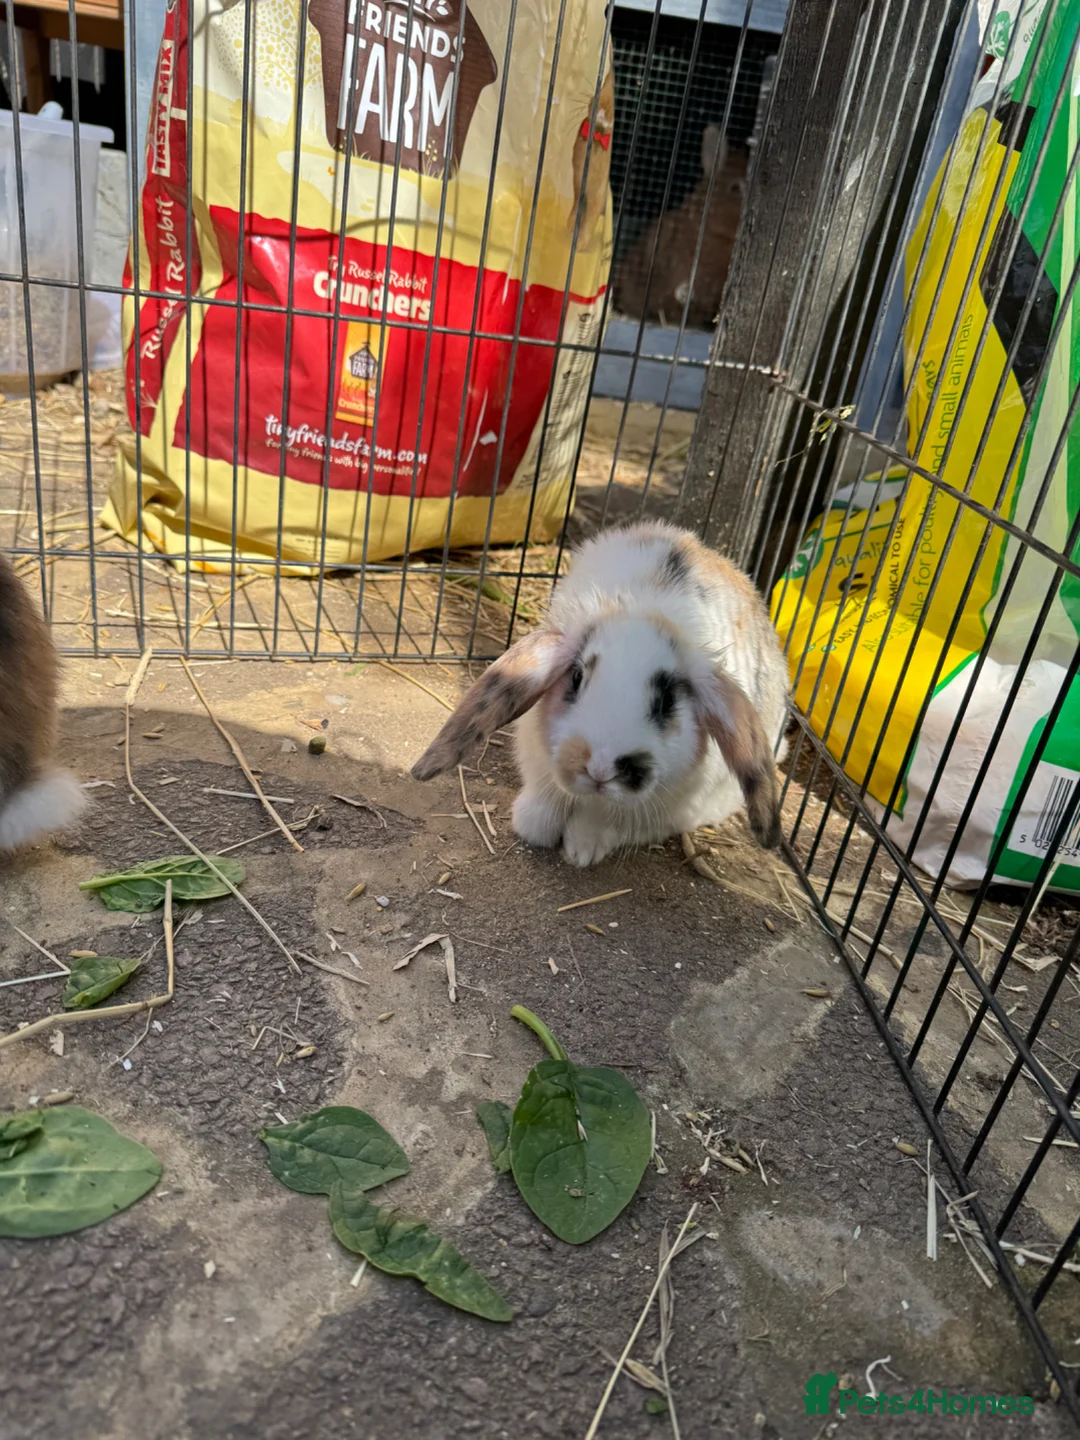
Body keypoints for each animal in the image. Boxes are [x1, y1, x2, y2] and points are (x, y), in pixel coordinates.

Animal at [411, 521, 788, 867]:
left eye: (667, 701)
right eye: (577, 677)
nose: (601, 768)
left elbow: (603, 820)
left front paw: (581, 850)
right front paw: (532, 827)